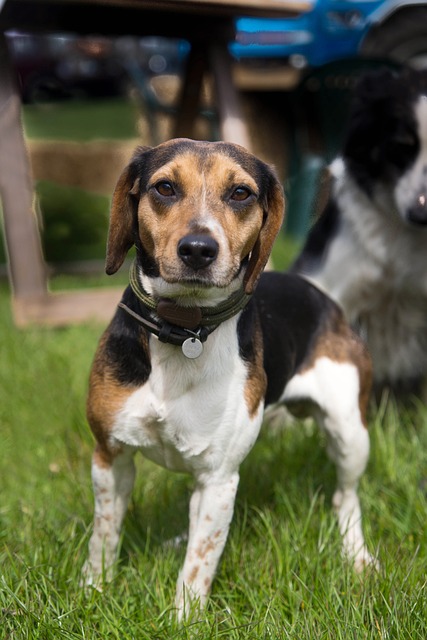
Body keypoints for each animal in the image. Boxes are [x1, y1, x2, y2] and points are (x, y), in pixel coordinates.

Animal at [85, 138, 376, 616]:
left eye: (241, 193)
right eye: (164, 187)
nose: (198, 248)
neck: (182, 329)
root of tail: (325, 300)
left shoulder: (220, 479)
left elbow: (198, 566)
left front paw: (183, 620)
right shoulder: (111, 456)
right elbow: (104, 536)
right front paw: (94, 590)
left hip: (350, 433)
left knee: (345, 498)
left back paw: (357, 554)